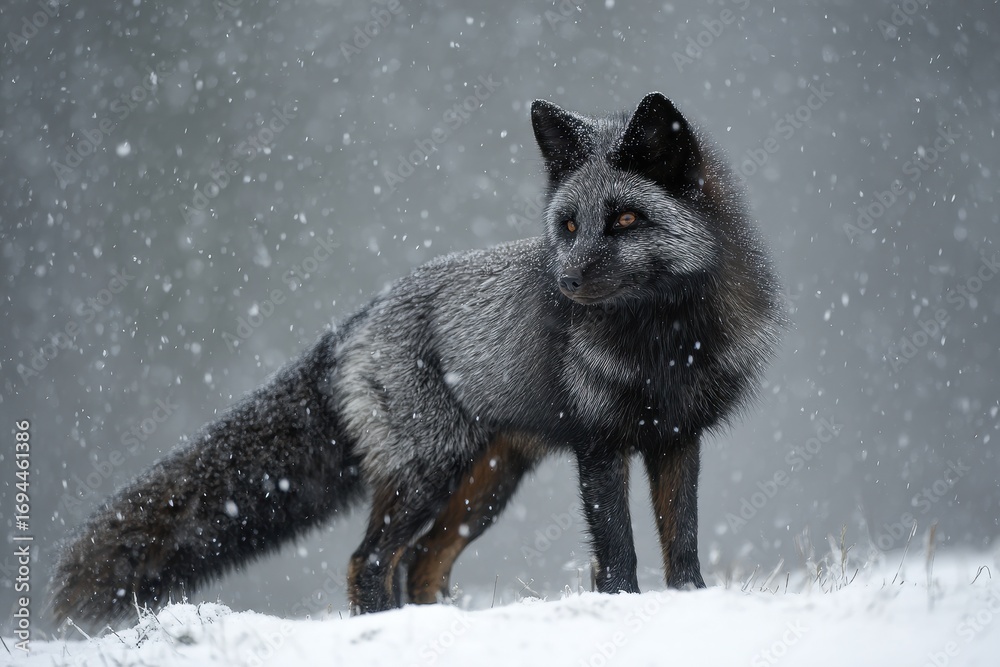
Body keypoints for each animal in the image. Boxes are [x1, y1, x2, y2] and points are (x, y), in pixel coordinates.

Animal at [51, 92, 784, 627]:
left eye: (626, 220)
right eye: (569, 225)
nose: (565, 279)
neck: (664, 346)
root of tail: (352, 324)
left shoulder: (676, 437)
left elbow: (681, 538)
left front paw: (691, 601)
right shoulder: (599, 445)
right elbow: (618, 550)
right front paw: (624, 610)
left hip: (481, 489)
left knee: (421, 564)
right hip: (429, 474)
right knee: (370, 561)